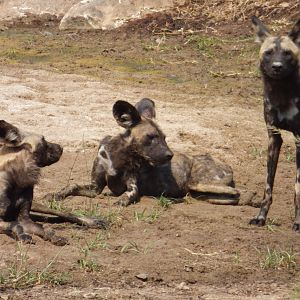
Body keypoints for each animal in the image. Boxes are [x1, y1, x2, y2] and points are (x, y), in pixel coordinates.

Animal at [44, 98, 240, 206]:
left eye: (164, 137)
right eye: (151, 137)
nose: (170, 155)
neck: (117, 158)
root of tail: (227, 164)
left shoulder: (132, 187)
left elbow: (128, 195)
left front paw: (119, 200)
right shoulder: (95, 187)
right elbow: (71, 186)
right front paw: (55, 194)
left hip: (198, 184)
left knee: (237, 194)